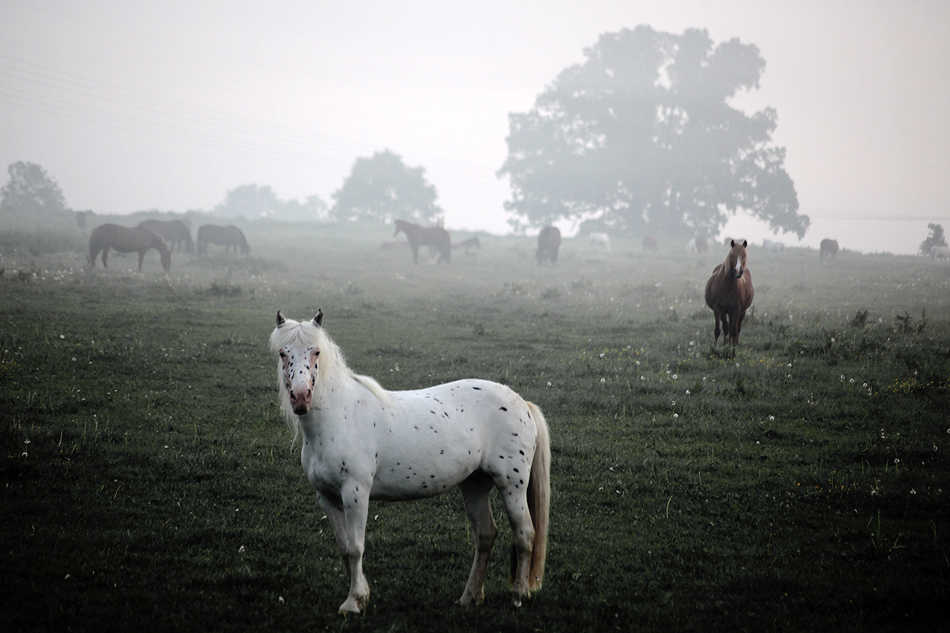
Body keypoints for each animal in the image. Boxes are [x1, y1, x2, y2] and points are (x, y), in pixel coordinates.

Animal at [270, 312, 552, 612]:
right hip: (474, 484)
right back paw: (470, 596)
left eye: (316, 351)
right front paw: (359, 594)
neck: (339, 417)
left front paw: (354, 601)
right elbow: (345, 549)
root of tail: (522, 403)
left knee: (525, 534)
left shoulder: (355, 492)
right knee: (486, 535)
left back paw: (519, 594)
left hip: (512, 486)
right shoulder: (327, 497)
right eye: (282, 353)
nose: (301, 397)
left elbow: (356, 547)